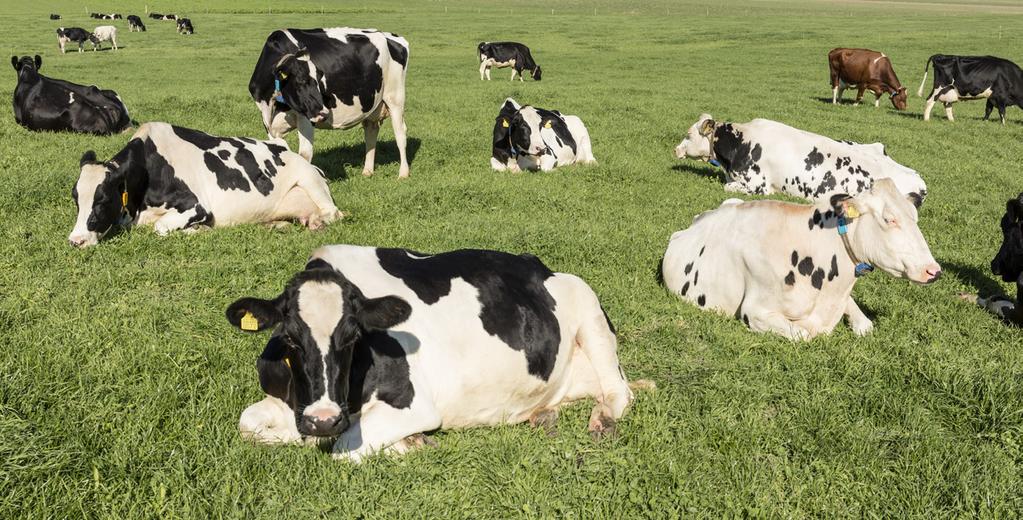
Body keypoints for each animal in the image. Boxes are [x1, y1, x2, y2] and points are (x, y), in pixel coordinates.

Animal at [68, 121, 341, 247]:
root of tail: (285, 147)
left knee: (334, 213)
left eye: (103, 199)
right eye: (76, 200)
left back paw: (319, 222)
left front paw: (199, 230)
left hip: (309, 179)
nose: (76, 240)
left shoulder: (196, 206)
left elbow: (160, 228)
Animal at [230, 245, 638, 460]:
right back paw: (544, 416)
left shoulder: (415, 405)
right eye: (291, 339)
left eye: (352, 336)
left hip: (590, 311)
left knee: (619, 392)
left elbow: (345, 447)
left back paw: (602, 421)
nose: (323, 420)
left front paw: (409, 443)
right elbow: (247, 423)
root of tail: (541, 266)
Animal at [250, 28, 411, 179]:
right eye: (301, 81)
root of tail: (389, 35)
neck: (273, 104)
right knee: (371, 130)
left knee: (400, 133)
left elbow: (304, 154)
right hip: (371, 103)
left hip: (395, 97)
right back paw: (367, 171)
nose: (324, 113)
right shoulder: (268, 120)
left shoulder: (306, 117)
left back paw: (403, 173)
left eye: (319, 78)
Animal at [662, 179, 941, 341]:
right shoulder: (756, 311)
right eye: (889, 219)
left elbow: (865, 326)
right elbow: (803, 335)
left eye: (915, 217)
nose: (933, 271)